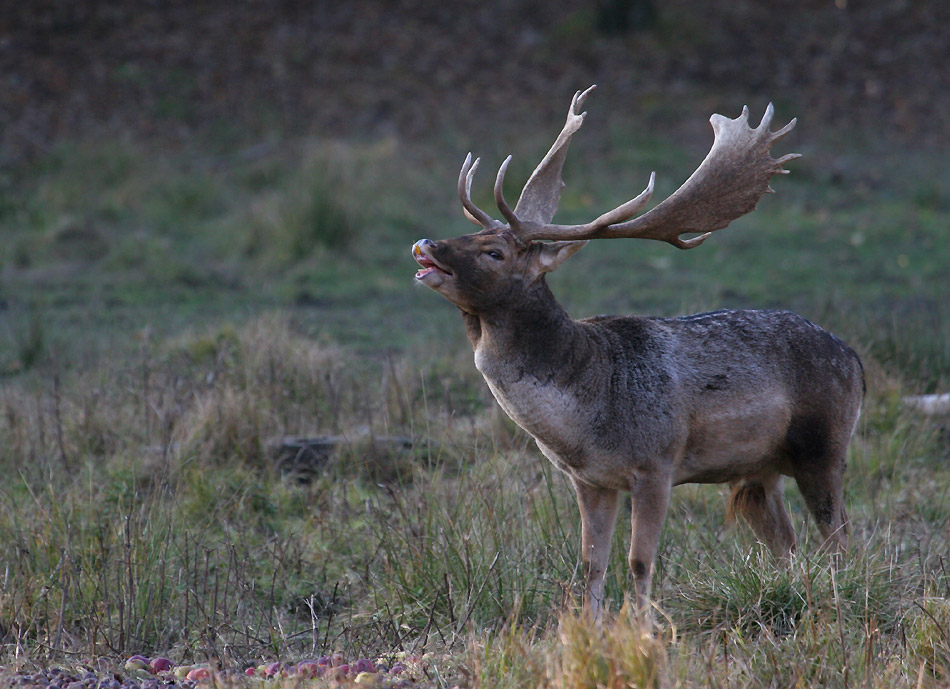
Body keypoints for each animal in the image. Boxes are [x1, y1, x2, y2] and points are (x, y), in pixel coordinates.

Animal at [412, 86, 868, 620]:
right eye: (472, 234)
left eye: (494, 253)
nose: (425, 243)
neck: (585, 411)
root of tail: (855, 361)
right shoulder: (590, 480)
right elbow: (590, 564)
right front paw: (589, 627)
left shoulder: (657, 463)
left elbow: (639, 561)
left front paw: (643, 627)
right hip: (758, 470)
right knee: (788, 543)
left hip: (825, 444)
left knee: (840, 538)